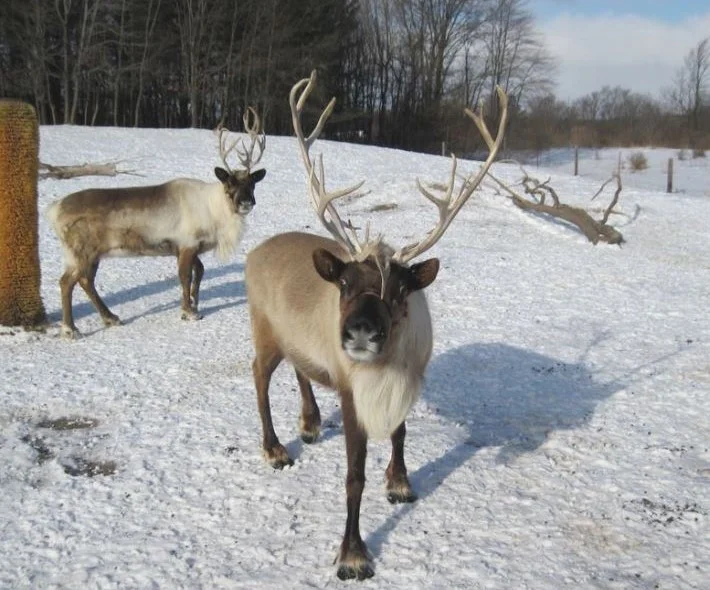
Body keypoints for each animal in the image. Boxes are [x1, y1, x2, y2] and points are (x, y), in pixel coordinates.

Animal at [46, 109, 266, 338]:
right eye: (229, 183)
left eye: (252, 183)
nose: (246, 203)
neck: (215, 212)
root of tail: (54, 209)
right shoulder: (187, 244)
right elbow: (185, 276)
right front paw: (188, 312)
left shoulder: (188, 247)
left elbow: (200, 271)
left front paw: (194, 305)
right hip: (82, 251)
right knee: (66, 282)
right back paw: (71, 329)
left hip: (92, 254)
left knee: (85, 281)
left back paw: (111, 318)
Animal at [243, 71, 508, 581]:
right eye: (345, 283)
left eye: (400, 289)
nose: (360, 333)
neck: (387, 370)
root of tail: (253, 252)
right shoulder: (354, 393)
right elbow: (354, 475)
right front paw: (352, 554)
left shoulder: (408, 381)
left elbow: (401, 434)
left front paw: (400, 483)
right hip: (263, 331)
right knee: (260, 377)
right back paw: (275, 449)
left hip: (294, 339)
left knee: (301, 369)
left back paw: (309, 424)